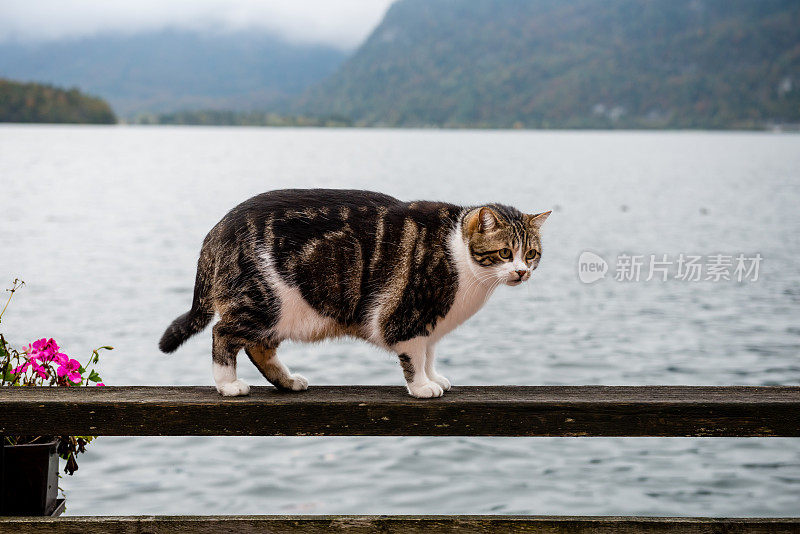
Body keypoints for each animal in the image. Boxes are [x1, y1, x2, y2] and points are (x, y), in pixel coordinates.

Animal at [162, 188, 552, 398]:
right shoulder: (407, 315)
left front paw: (435, 376)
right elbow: (414, 357)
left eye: (532, 253)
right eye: (505, 253)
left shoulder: (431, 323)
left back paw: (288, 381)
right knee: (222, 333)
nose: (521, 271)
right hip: (264, 301)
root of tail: (218, 230)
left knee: (259, 347)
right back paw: (228, 384)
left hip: (276, 315)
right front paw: (423, 386)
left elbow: (429, 353)